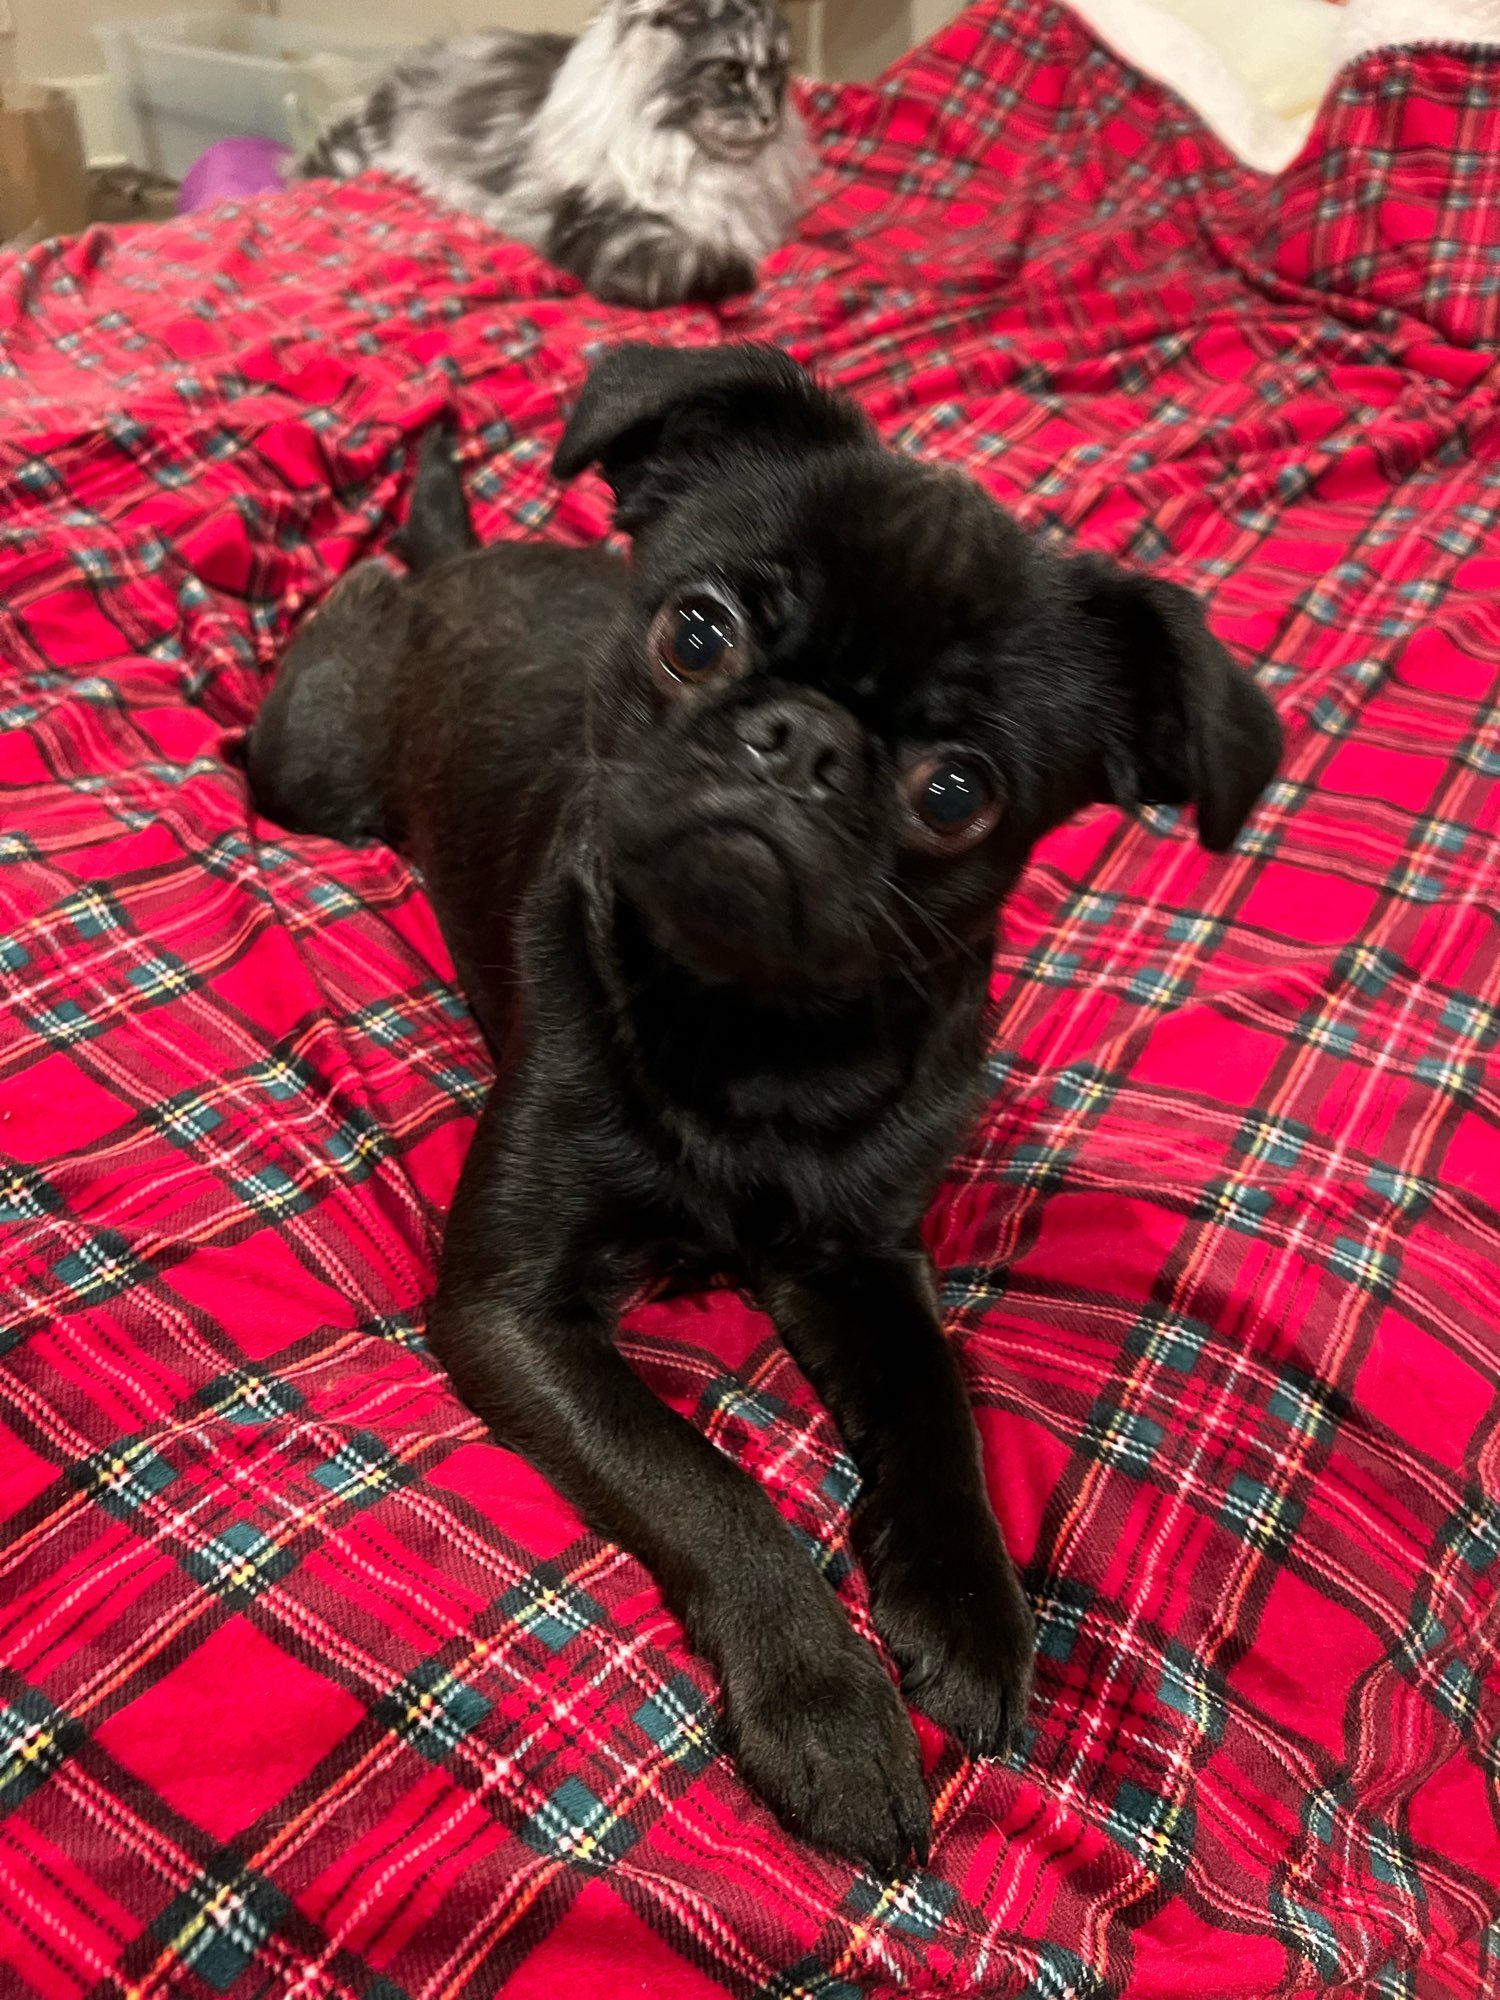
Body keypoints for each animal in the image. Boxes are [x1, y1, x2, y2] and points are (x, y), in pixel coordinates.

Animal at [247, 342, 1280, 1871]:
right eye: (697, 633)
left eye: (957, 790)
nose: (800, 741)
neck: (758, 1030)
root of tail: (472, 558)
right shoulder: (512, 1310)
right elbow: (702, 1481)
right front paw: (828, 1705)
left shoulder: (863, 1261)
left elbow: (937, 1405)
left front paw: (971, 1614)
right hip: (308, 768)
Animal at [296, 0, 810, 309]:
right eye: (731, 69)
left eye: (778, 72)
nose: (769, 117)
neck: (696, 161)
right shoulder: (595, 226)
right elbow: (685, 263)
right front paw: (734, 271)